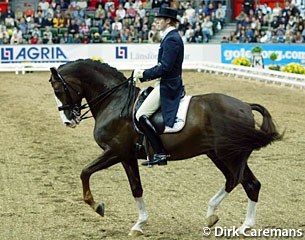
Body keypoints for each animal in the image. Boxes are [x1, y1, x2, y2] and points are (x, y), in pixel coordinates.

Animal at [48, 59, 282, 236]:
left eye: (58, 89)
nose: (68, 120)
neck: (115, 101)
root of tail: (245, 106)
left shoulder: (115, 152)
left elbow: (85, 171)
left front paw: (96, 206)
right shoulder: (127, 156)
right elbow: (136, 188)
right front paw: (139, 225)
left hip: (229, 155)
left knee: (239, 181)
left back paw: (219, 217)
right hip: (220, 155)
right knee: (246, 183)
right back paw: (236, 224)